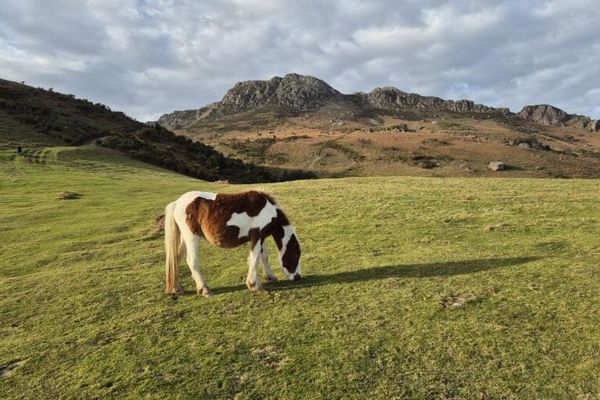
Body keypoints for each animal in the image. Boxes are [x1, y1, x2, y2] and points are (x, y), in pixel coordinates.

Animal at [164, 191, 302, 296]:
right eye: (296, 255)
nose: (298, 277)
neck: (268, 210)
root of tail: (177, 203)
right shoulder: (257, 235)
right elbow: (255, 258)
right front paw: (254, 285)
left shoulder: (261, 237)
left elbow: (264, 256)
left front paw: (270, 277)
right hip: (192, 237)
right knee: (191, 261)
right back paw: (205, 289)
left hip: (184, 239)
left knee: (176, 258)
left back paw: (177, 288)